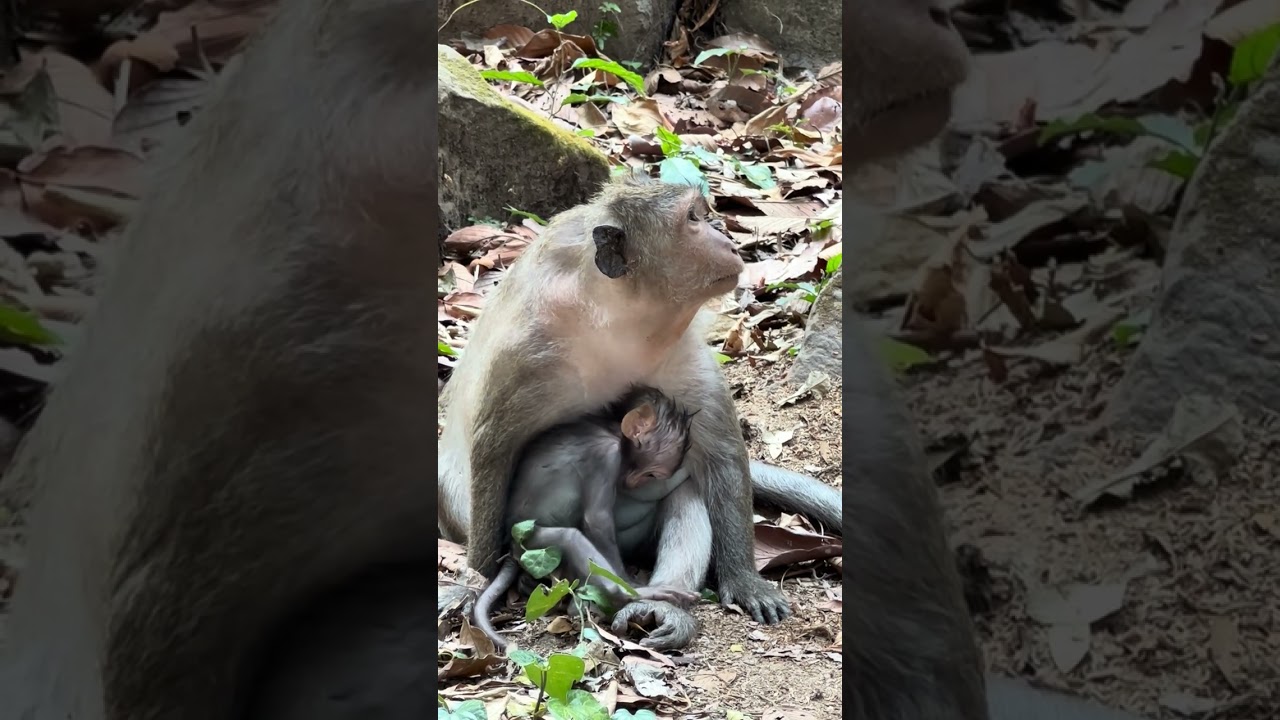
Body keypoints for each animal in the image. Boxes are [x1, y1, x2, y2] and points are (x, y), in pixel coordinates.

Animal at [472, 385, 701, 651]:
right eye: (651, 474)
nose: (635, 484)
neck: (613, 432)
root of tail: (509, 550)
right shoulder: (606, 457)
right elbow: (597, 520)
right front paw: (630, 583)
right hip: (528, 542)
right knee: (569, 538)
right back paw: (627, 593)